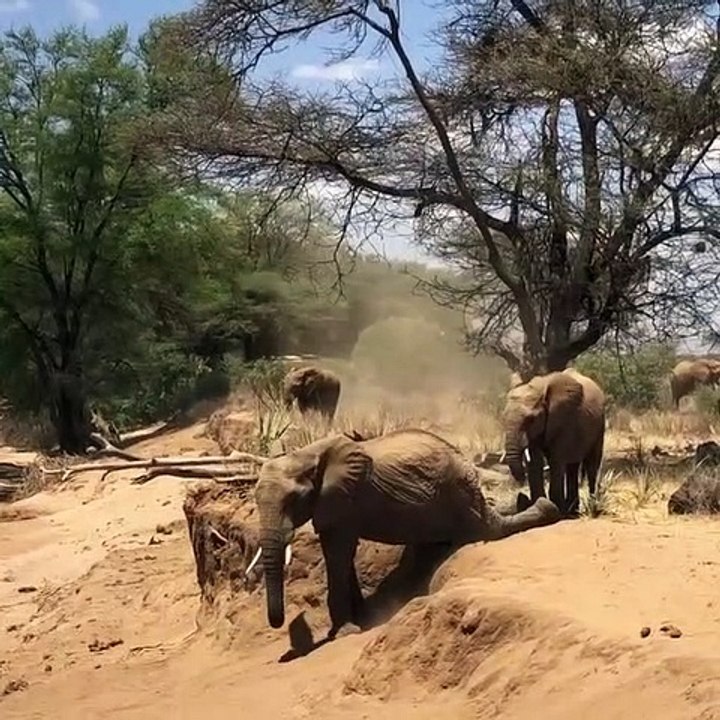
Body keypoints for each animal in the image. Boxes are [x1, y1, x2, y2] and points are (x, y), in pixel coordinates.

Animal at [253, 428, 561, 638]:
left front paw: (345, 632)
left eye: (293, 500)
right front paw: (360, 617)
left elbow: (338, 552)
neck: (307, 454)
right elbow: (341, 554)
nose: (277, 623)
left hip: (458, 493)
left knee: (484, 530)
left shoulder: (343, 497)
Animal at [502, 368, 605, 517]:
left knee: (591, 465)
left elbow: (556, 461)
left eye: (531, 420)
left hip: (600, 425)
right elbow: (534, 462)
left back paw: (591, 508)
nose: (521, 482)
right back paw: (572, 511)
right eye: (503, 417)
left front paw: (556, 510)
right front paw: (541, 504)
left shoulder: (563, 419)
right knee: (572, 467)